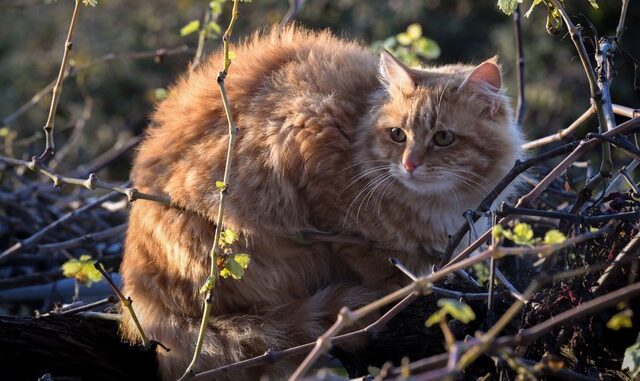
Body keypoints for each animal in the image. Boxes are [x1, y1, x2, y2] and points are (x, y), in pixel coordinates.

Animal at [120, 25, 524, 378]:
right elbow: (370, 260)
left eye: (443, 138)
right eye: (398, 135)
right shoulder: (309, 154)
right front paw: (397, 288)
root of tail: (143, 294)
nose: (410, 164)